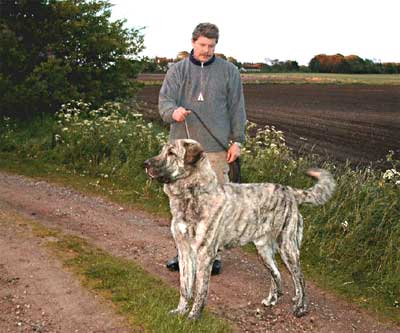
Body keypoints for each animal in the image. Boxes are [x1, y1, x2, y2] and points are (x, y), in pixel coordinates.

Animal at [144, 138, 334, 320]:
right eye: (162, 150)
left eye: (171, 153)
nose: (145, 163)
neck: (192, 194)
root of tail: (288, 191)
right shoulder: (184, 251)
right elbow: (185, 287)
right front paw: (180, 312)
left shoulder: (205, 254)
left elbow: (200, 291)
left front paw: (193, 317)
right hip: (264, 250)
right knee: (277, 273)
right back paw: (272, 299)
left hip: (287, 247)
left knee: (300, 278)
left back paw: (301, 308)